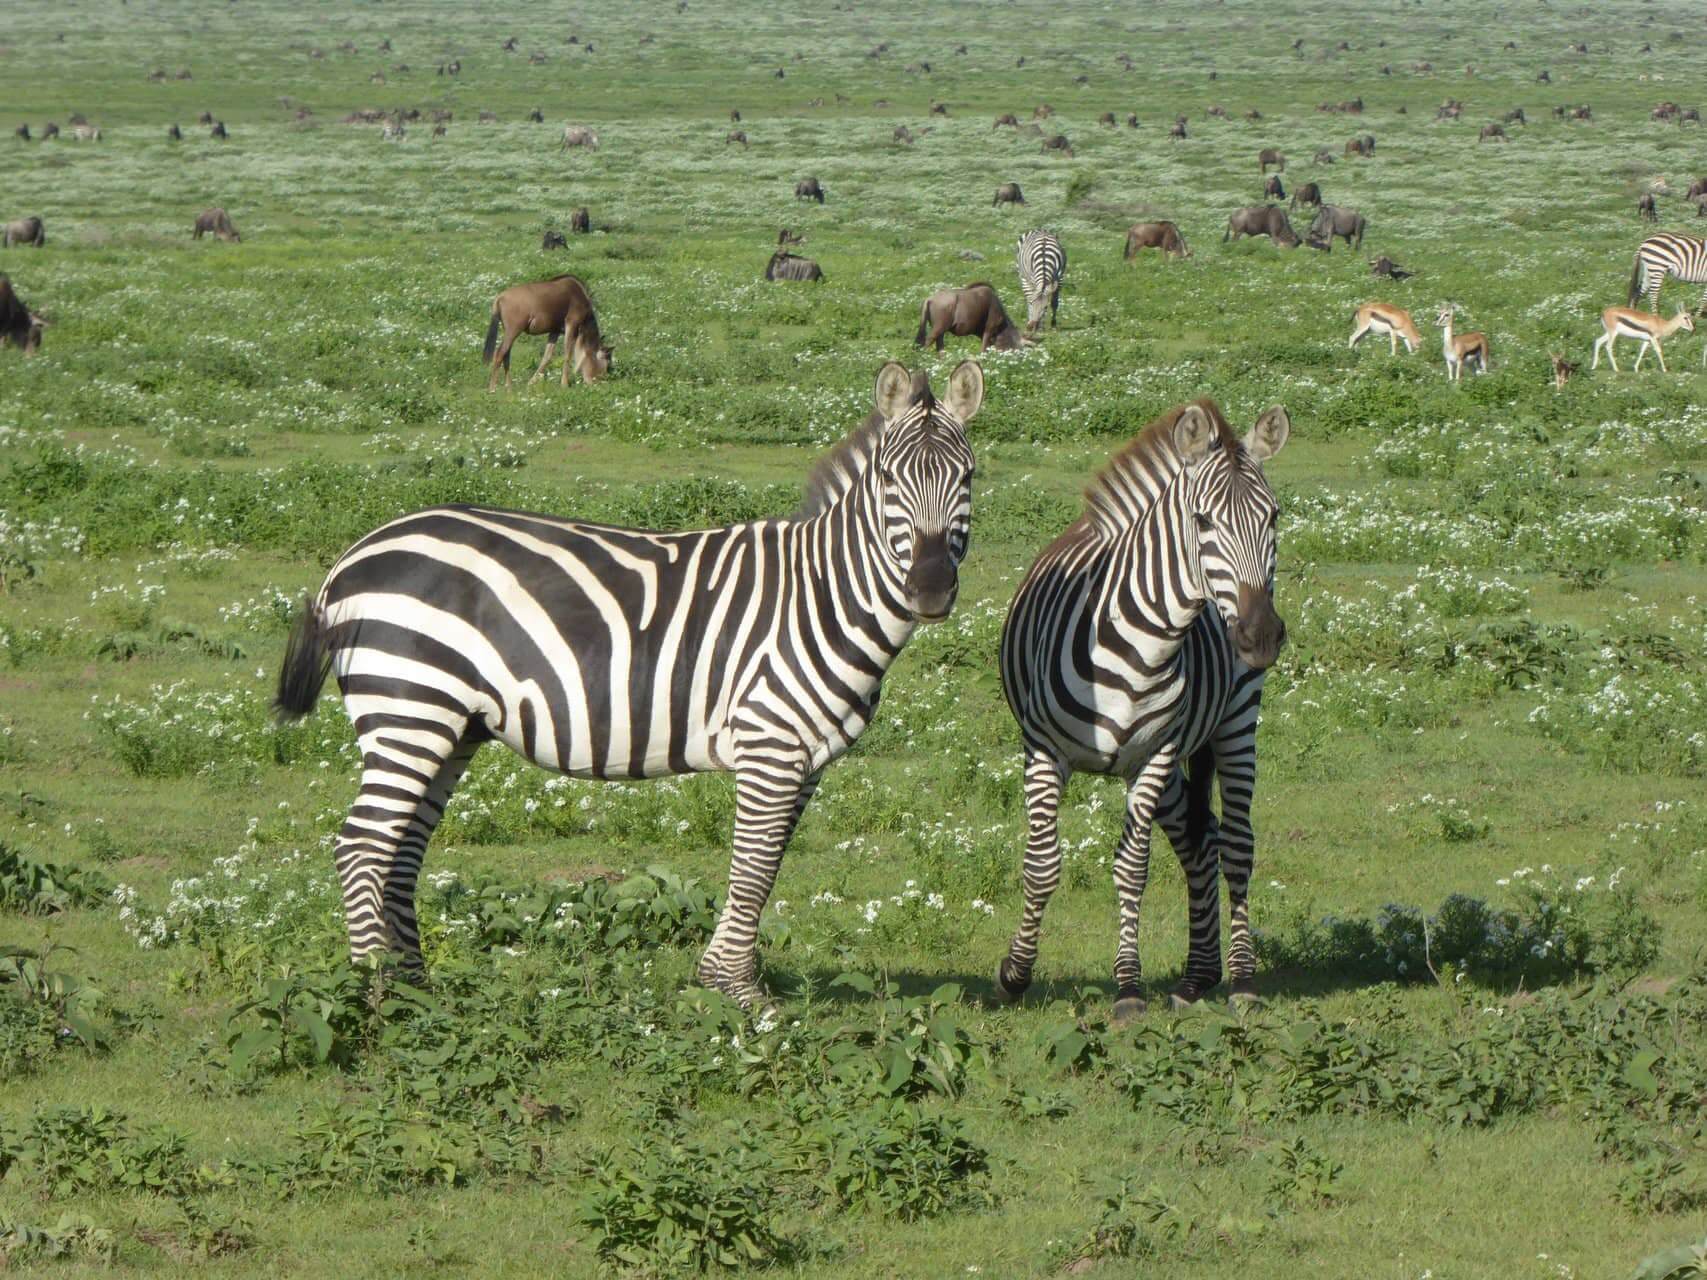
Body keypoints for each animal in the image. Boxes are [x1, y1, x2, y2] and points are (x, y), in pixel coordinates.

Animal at [273, 361, 984, 1010]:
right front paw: (741, 996)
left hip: (451, 725)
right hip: (410, 708)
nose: (928, 590)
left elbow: (769, 863)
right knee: (362, 845)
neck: (825, 594)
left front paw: (725, 980)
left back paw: (418, 993)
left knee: (401, 849)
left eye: (968, 477)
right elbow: (754, 869)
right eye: (889, 480)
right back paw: (378, 998)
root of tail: (350, 556)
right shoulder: (770, 743)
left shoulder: (804, 759)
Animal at [994, 399, 1290, 1020]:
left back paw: (1241, 979)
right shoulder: (1044, 751)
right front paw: (1014, 974)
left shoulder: (1155, 755)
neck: (1142, 644)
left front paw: (1128, 987)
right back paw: (1197, 978)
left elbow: (1132, 869)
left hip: (1235, 721)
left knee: (1237, 845)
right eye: (1203, 522)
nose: (1260, 637)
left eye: (1273, 517)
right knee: (1202, 843)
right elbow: (1041, 866)